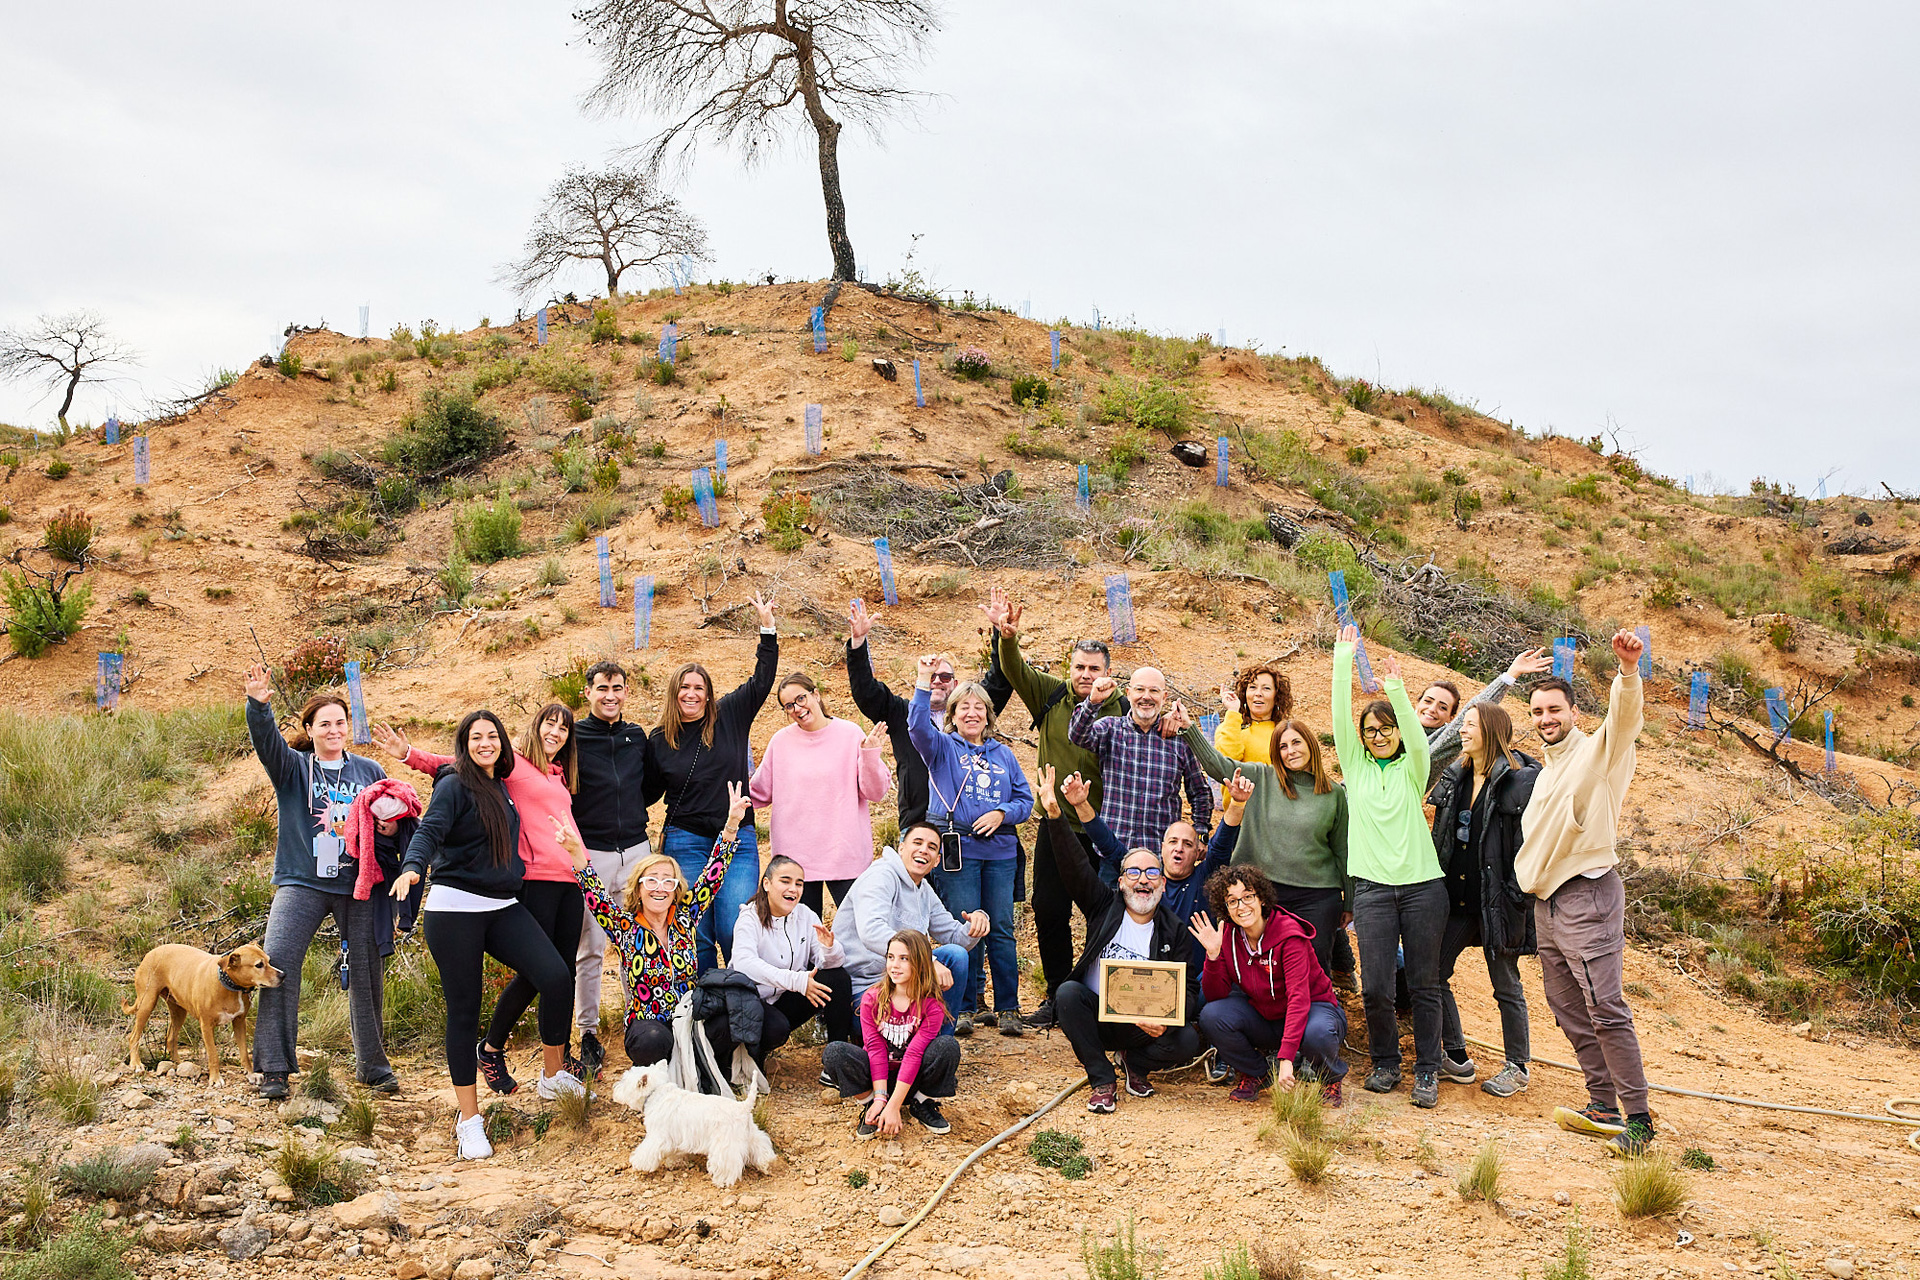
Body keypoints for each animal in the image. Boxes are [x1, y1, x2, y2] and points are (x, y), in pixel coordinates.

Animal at [127, 948, 282, 1090]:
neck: (228, 985)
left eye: (269, 960)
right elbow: (213, 1056)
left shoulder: (239, 1022)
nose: (283, 975)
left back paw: (179, 1063)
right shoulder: (207, 1026)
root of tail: (151, 952)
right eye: (259, 965)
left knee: (170, 1037)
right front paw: (215, 1079)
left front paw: (250, 1074)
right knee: (134, 1036)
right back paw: (136, 1064)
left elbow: (244, 1053)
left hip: (178, 1011)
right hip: (147, 1003)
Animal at [606, 1059, 771, 1189]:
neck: (655, 1092)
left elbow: (646, 1152)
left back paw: (722, 1181)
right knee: (762, 1147)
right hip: (751, 1135)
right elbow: (675, 1153)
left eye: (624, 1081)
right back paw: (765, 1165)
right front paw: (674, 1163)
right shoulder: (675, 1138)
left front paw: (639, 1165)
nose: (615, 1089)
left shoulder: (658, 1136)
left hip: (726, 1144)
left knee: (728, 1164)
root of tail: (744, 1107)